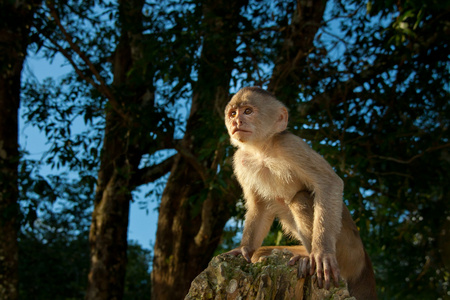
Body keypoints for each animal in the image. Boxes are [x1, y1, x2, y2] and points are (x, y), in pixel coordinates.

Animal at [224, 87, 376, 300]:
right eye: (233, 114)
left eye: (247, 111)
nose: (236, 122)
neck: (262, 150)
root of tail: (364, 262)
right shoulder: (240, 160)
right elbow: (259, 205)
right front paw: (244, 248)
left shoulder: (290, 144)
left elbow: (329, 183)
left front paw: (322, 253)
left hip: (350, 255)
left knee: (301, 199)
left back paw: (309, 258)